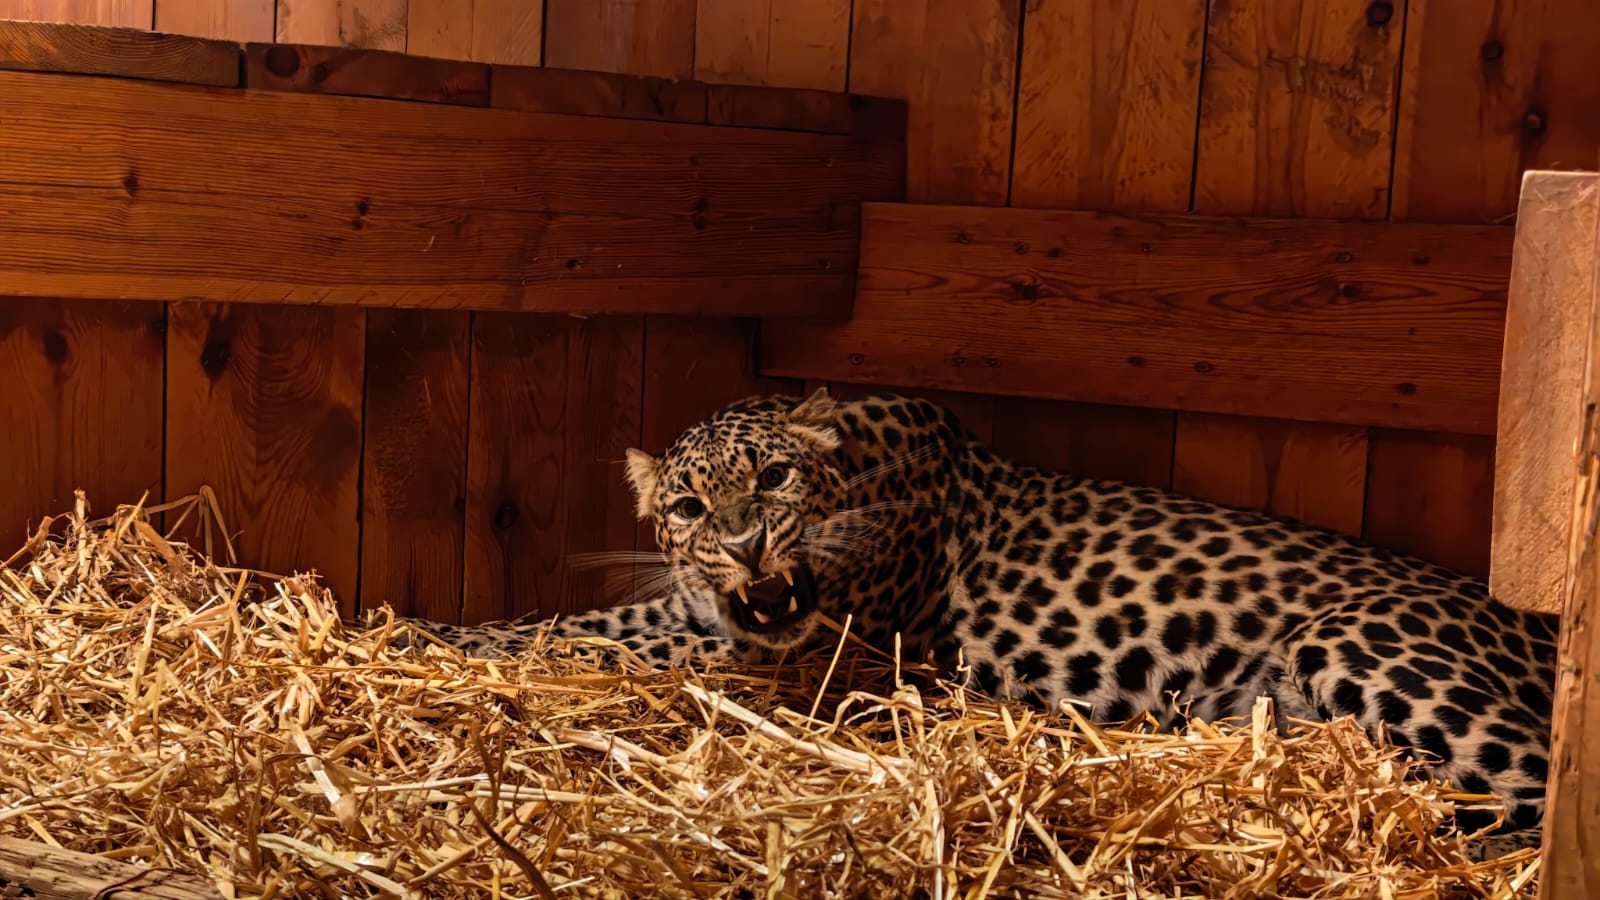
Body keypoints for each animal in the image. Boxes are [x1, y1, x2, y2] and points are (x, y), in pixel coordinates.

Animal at [406, 388, 1559, 859]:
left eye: (774, 478)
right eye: (688, 506)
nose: (740, 541)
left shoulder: (799, 644)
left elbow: (585, 633)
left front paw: (436, 638)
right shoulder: (710, 612)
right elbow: (588, 616)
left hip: (1360, 639)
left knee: (1534, 784)